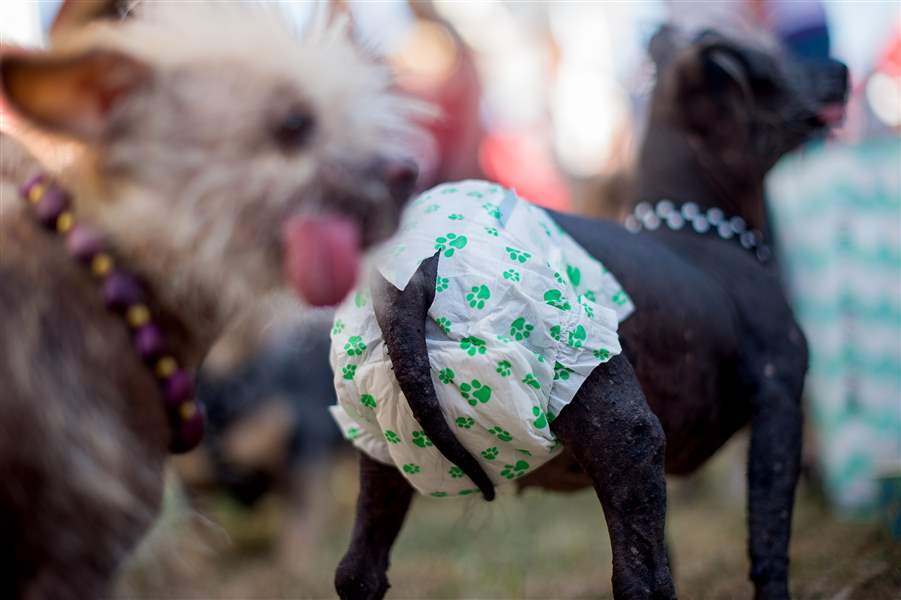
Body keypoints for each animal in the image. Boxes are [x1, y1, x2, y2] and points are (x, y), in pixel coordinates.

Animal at [334, 29, 848, 600]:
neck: (699, 233)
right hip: (628, 436)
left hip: (386, 454)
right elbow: (769, 539)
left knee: (358, 571)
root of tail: (422, 269)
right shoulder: (780, 406)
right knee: (642, 582)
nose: (841, 67)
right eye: (770, 60)